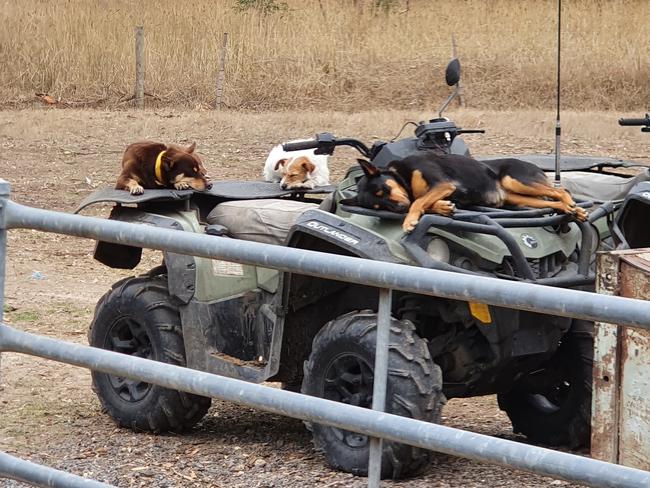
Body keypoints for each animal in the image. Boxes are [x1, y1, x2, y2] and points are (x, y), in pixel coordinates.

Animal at [346, 153, 584, 234]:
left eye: (384, 190)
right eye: (378, 206)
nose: (399, 209)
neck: (402, 174)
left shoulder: (443, 184)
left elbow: (418, 201)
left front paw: (409, 221)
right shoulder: (443, 191)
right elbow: (423, 201)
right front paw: (443, 207)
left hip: (515, 180)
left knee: (561, 190)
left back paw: (571, 204)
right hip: (516, 197)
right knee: (553, 201)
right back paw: (573, 210)